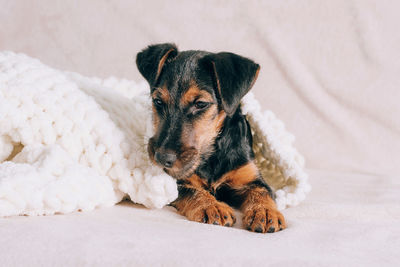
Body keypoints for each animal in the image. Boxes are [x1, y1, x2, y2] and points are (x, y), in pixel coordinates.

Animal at [136, 43, 286, 233]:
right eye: (158, 101)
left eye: (200, 104)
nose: (162, 158)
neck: (211, 154)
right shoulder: (175, 181)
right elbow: (192, 190)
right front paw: (212, 206)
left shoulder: (250, 177)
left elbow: (262, 191)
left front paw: (264, 212)